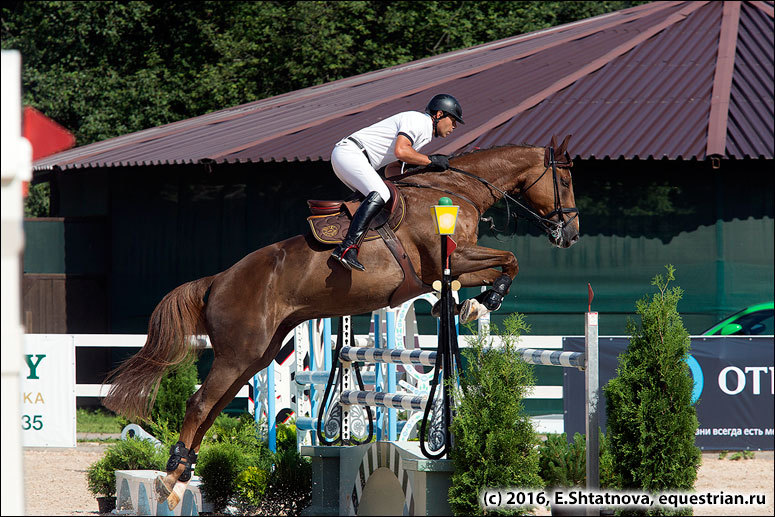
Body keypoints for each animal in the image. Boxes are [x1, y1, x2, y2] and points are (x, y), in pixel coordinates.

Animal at [103, 134, 580, 508]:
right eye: (566, 180)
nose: (571, 235)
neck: (456, 191)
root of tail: (218, 279)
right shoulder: (448, 259)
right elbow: (511, 258)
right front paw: (484, 302)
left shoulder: (454, 267)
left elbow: (502, 265)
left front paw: (474, 304)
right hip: (240, 352)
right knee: (201, 404)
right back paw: (169, 479)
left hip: (255, 355)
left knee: (213, 406)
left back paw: (181, 475)